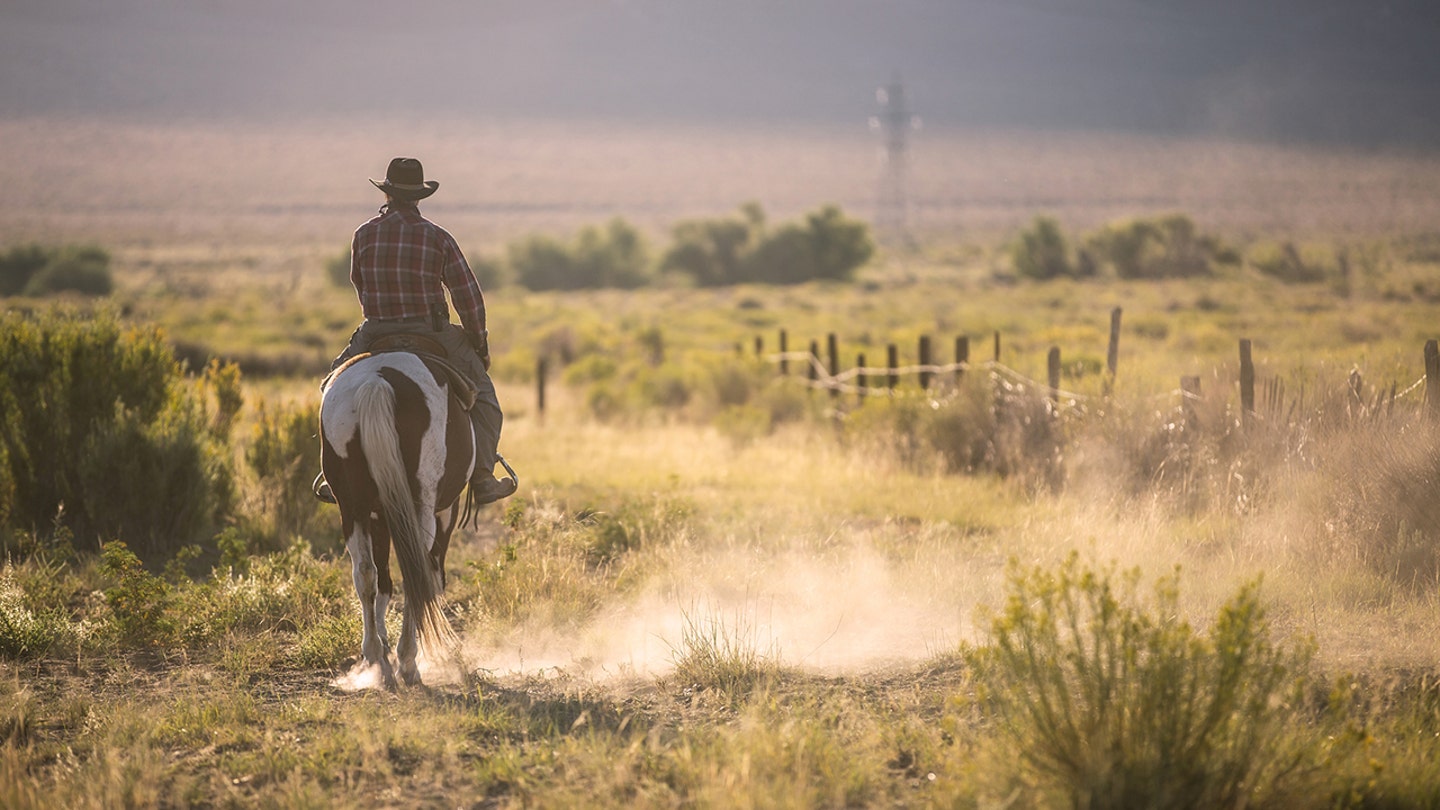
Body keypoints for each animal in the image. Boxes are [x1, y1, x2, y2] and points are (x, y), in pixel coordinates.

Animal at [318, 350, 492, 683]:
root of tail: (376, 382)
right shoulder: (444, 512)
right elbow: (431, 577)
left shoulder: (378, 513)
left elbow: (383, 580)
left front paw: (382, 644)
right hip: (420, 507)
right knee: (416, 570)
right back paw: (408, 662)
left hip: (352, 506)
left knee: (365, 573)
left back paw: (377, 659)